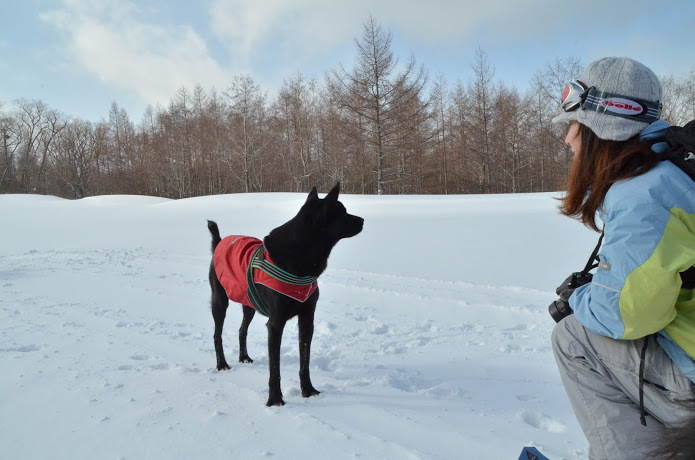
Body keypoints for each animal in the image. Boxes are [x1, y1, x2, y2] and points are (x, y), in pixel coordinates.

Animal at [207, 183, 364, 406]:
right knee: (217, 334)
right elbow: (275, 367)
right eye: (342, 212)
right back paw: (222, 364)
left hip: (249, 303)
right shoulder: (275, 324)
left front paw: (308, 390)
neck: (300, 255)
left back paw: (244, 357)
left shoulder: (307, 318)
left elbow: (305, 360)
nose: (362, 220)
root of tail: (220, 242)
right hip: (219, 300)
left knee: (242, 329)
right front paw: (274, 399)